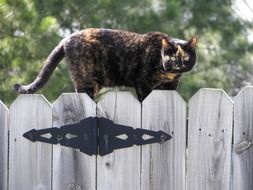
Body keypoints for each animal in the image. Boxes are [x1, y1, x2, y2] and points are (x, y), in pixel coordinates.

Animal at [13, 28, 198, 101]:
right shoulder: (143, 83)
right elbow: (144, 99)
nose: (178, 66)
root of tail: (67, 38)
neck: (168, 74)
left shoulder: (171, 86)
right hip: (87, 80)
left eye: (185, 58)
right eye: (172, 58)